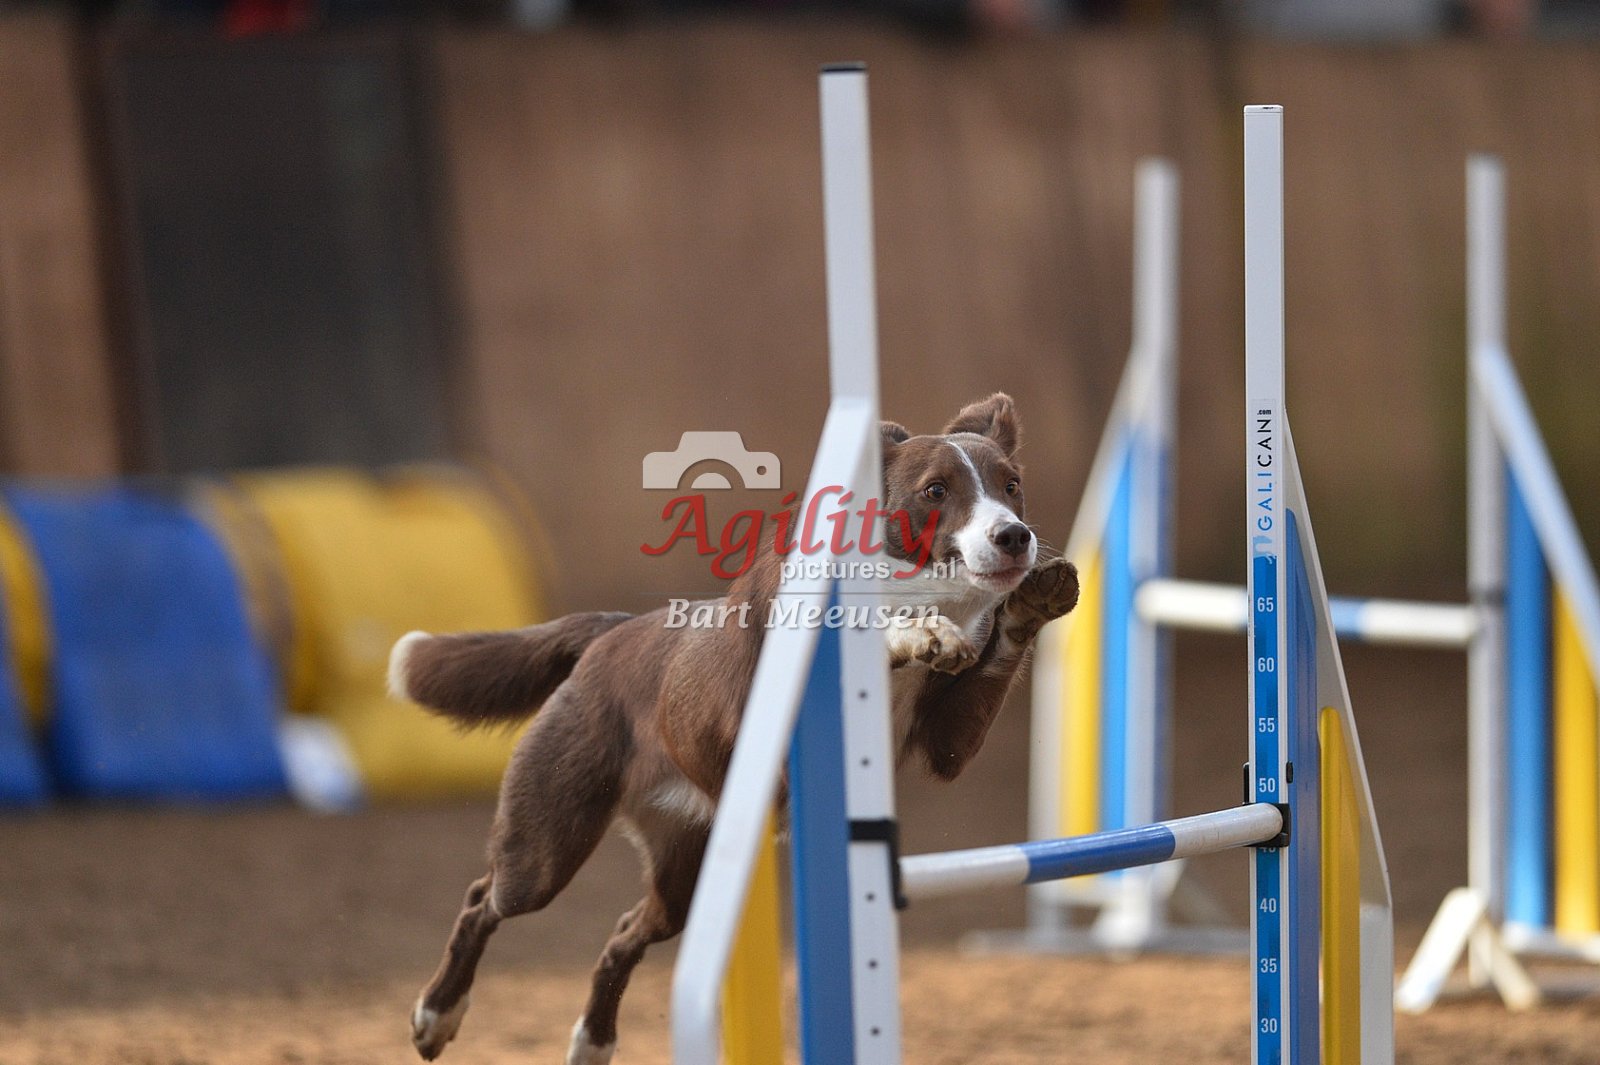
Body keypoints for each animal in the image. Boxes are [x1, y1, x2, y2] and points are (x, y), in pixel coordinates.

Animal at [389, 393, 1079, 1064]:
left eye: (1012, 485)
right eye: (935, 490)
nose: (1014, 536)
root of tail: (611, 632)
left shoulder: (948, 742)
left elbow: (986, 666)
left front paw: (1030, 603)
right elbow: (880, 625)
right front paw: (921, 631)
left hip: (686, 871)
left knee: (625, 933)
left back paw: (592, 1042)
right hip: (547, 843)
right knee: (484, 899)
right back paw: (436, 1015)